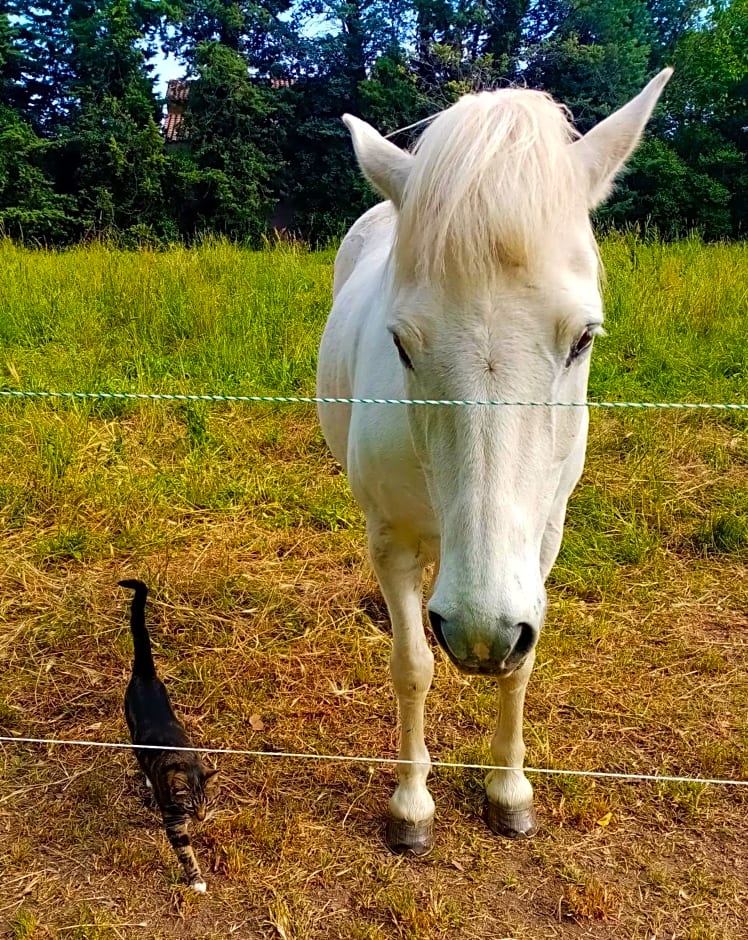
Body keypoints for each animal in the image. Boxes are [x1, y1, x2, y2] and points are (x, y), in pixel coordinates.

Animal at [120, 576, 218, 892]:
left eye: (207, 803)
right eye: (190, 805)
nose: (201, 818)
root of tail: (146, 676)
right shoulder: (174, 822)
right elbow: (185, 851)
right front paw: (197, 881)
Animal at [316, 70, 672, 856]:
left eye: (584, 338)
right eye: (402, 344)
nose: (480, 635)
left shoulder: (542, 539)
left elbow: (524, 662)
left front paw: (509, 791)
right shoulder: (390, 539)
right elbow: (413, 666)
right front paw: (411, 805)